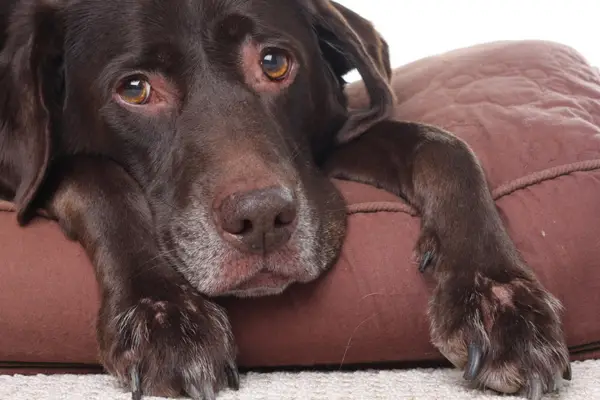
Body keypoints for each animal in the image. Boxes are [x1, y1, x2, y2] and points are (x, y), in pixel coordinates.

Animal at [0, 0, 572, 400]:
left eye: (274, 63)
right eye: (135, 89)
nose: (261, 220)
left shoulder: (332, 140)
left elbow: (443, 145)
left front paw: (499, 298)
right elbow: (98, 177)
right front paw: (161, 313)